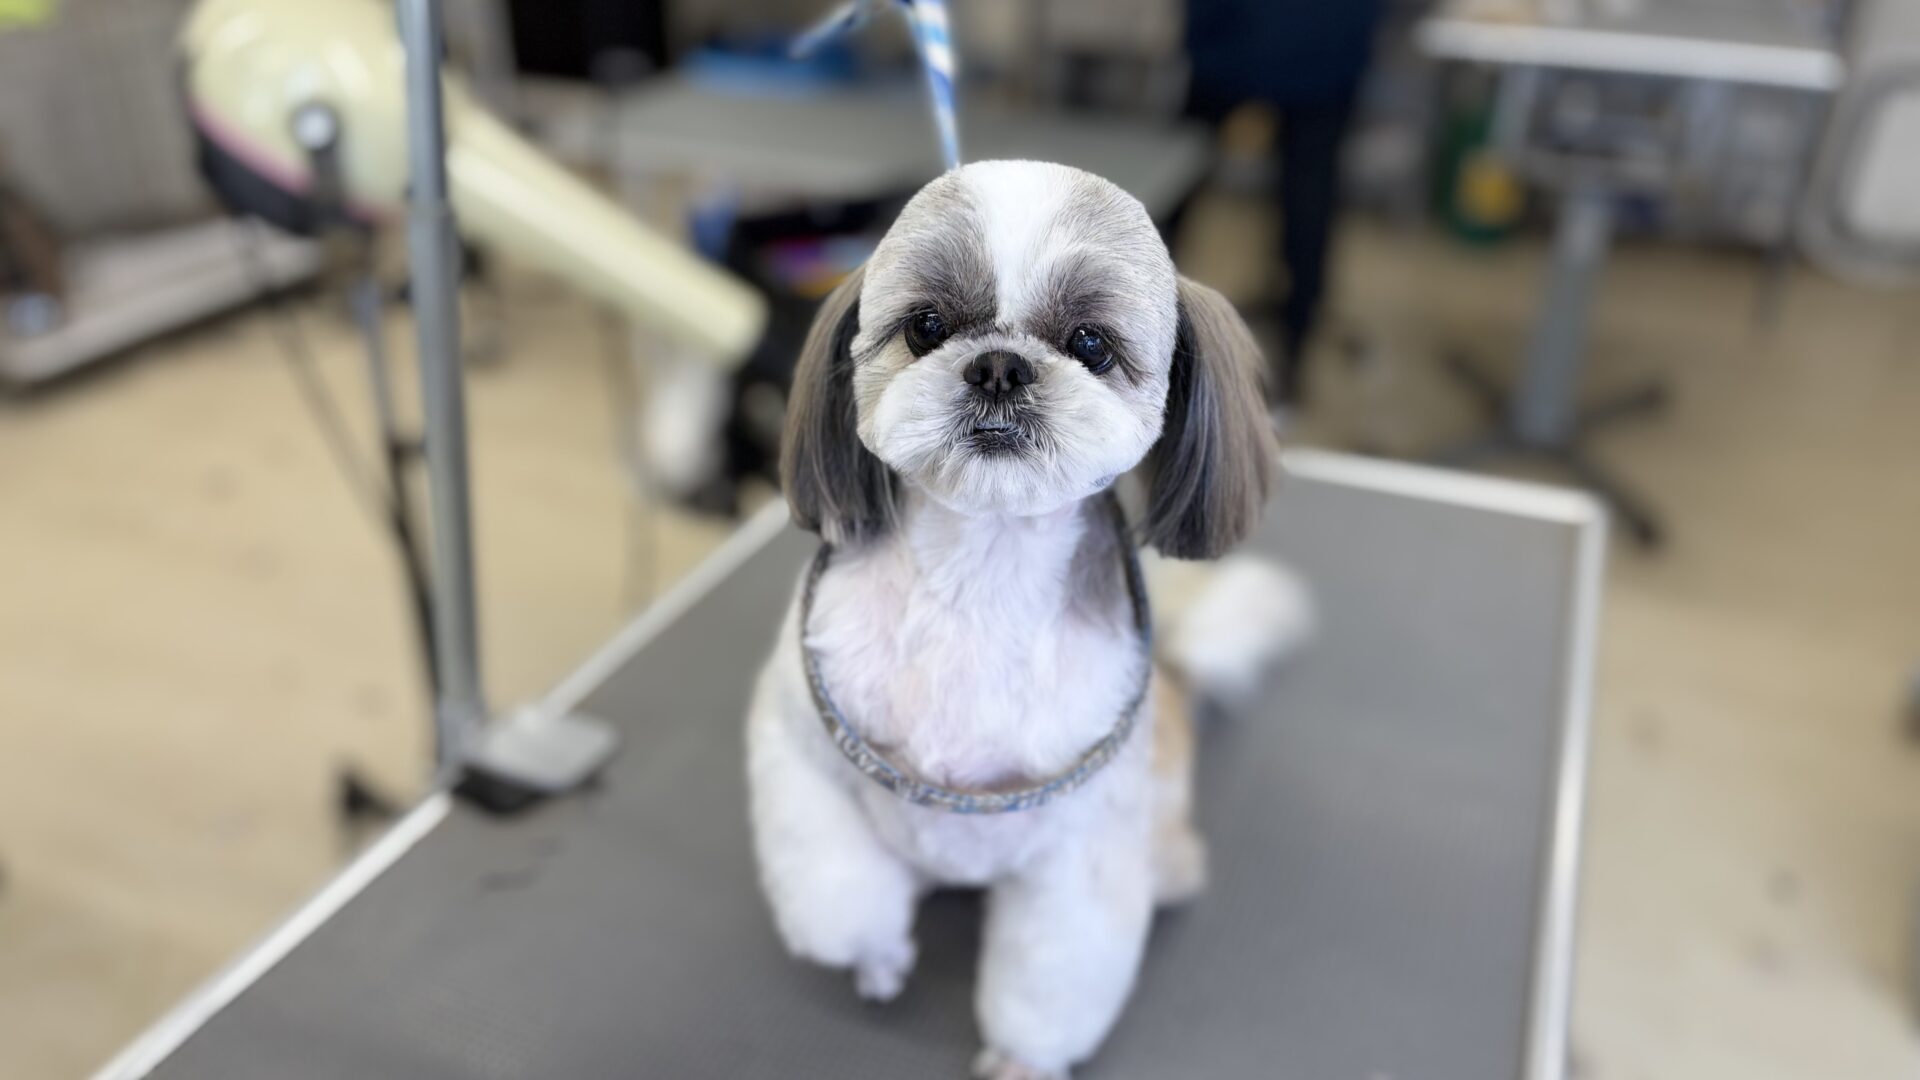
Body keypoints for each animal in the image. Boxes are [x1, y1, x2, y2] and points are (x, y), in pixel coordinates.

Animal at [745, 159, 1283, 1079]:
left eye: (1091, 344)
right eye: (925, 327)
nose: (998, 365)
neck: (979, 572)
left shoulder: (1080, 854)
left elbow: (1050, 978)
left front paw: (1025, 1057)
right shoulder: (800, 751)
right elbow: (836, 894)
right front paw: (873, 952)